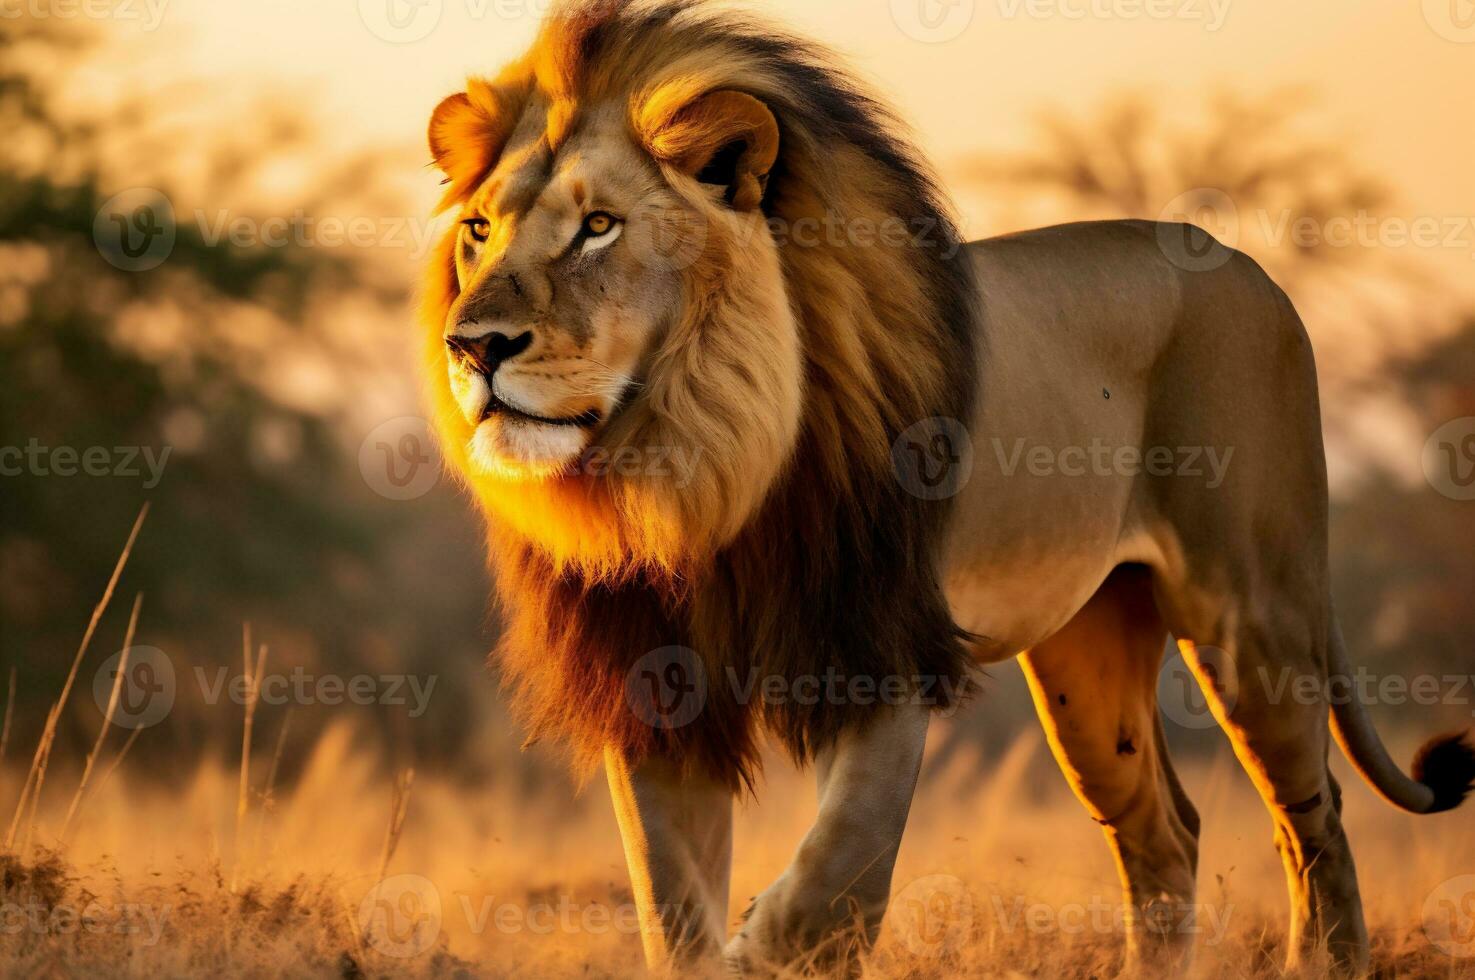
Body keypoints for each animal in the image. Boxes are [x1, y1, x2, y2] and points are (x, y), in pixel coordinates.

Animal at [418, 0, 1475, 974]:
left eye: (598, 228)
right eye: (478, 230)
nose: (473, 348)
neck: (691, 468)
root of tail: (1252, 268)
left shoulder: (880, 646)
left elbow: (837, 873)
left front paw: (764, 945)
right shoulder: (651, 678)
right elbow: (670, 902)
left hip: (1251, 612)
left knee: (1315, 813)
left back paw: (1327, 958)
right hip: (1091, 661)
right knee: (1164, 833)